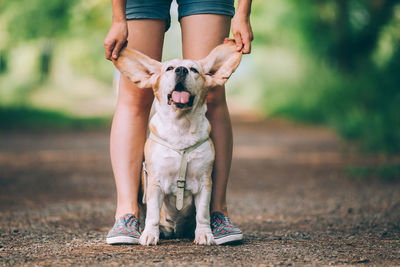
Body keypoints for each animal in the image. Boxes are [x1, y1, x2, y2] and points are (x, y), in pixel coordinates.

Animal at [112, 39, 242, 247]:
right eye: (169, 68)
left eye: (194, 69)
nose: (181, 70)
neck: (181, 126)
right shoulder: (155, 183)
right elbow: (153, 215)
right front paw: (149, 234)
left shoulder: (204, 183)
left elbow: (203, 215)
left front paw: (204, 234)